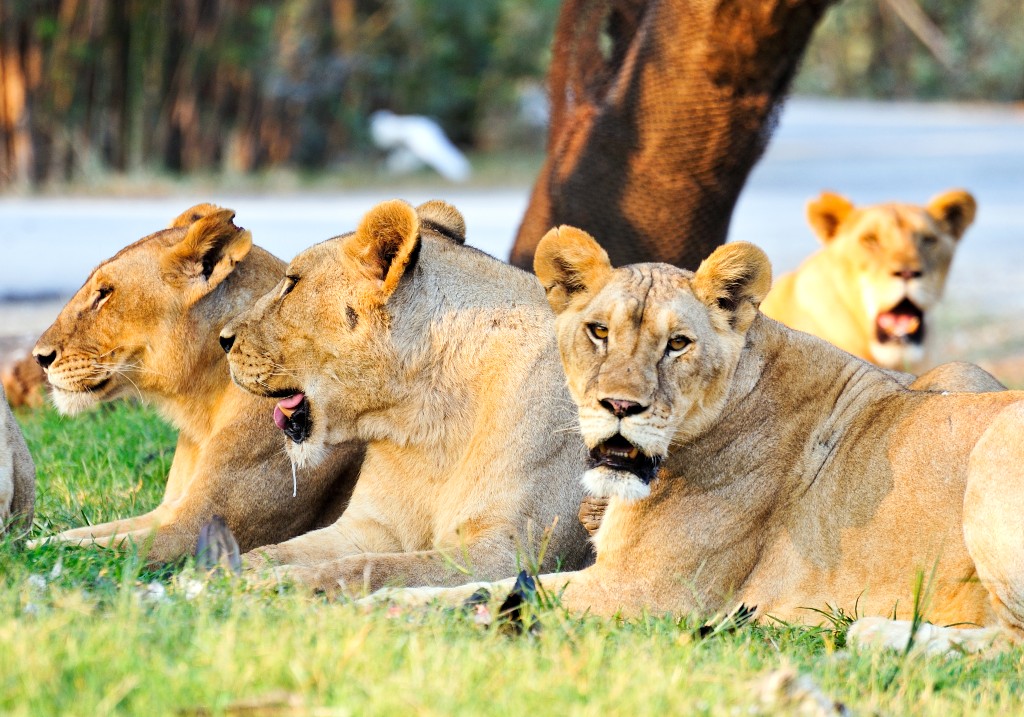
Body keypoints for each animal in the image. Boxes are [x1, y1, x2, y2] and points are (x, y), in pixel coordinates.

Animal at [29, 205, 363, 561]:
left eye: (104, 294)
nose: (39, 357)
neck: (202, 409)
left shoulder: (194, 531)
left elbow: (87, 549)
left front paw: (20, 549)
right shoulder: (165, 511)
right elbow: (79, 534)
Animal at [219, 199, 591, 593]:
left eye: (292, 284)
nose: (223, 340)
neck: (424, 417)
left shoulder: (511, 552)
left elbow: (373, 568)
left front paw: (287, 582)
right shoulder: (368, 527)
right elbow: (280, 550)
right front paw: (221, 571)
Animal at [369, 229, 1024, 652]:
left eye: (677, 344)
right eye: (598, 331)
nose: (619, 407)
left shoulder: (649, 594)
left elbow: (472, 591)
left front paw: (374, 607)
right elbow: (480, 588)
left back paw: (872, 633)